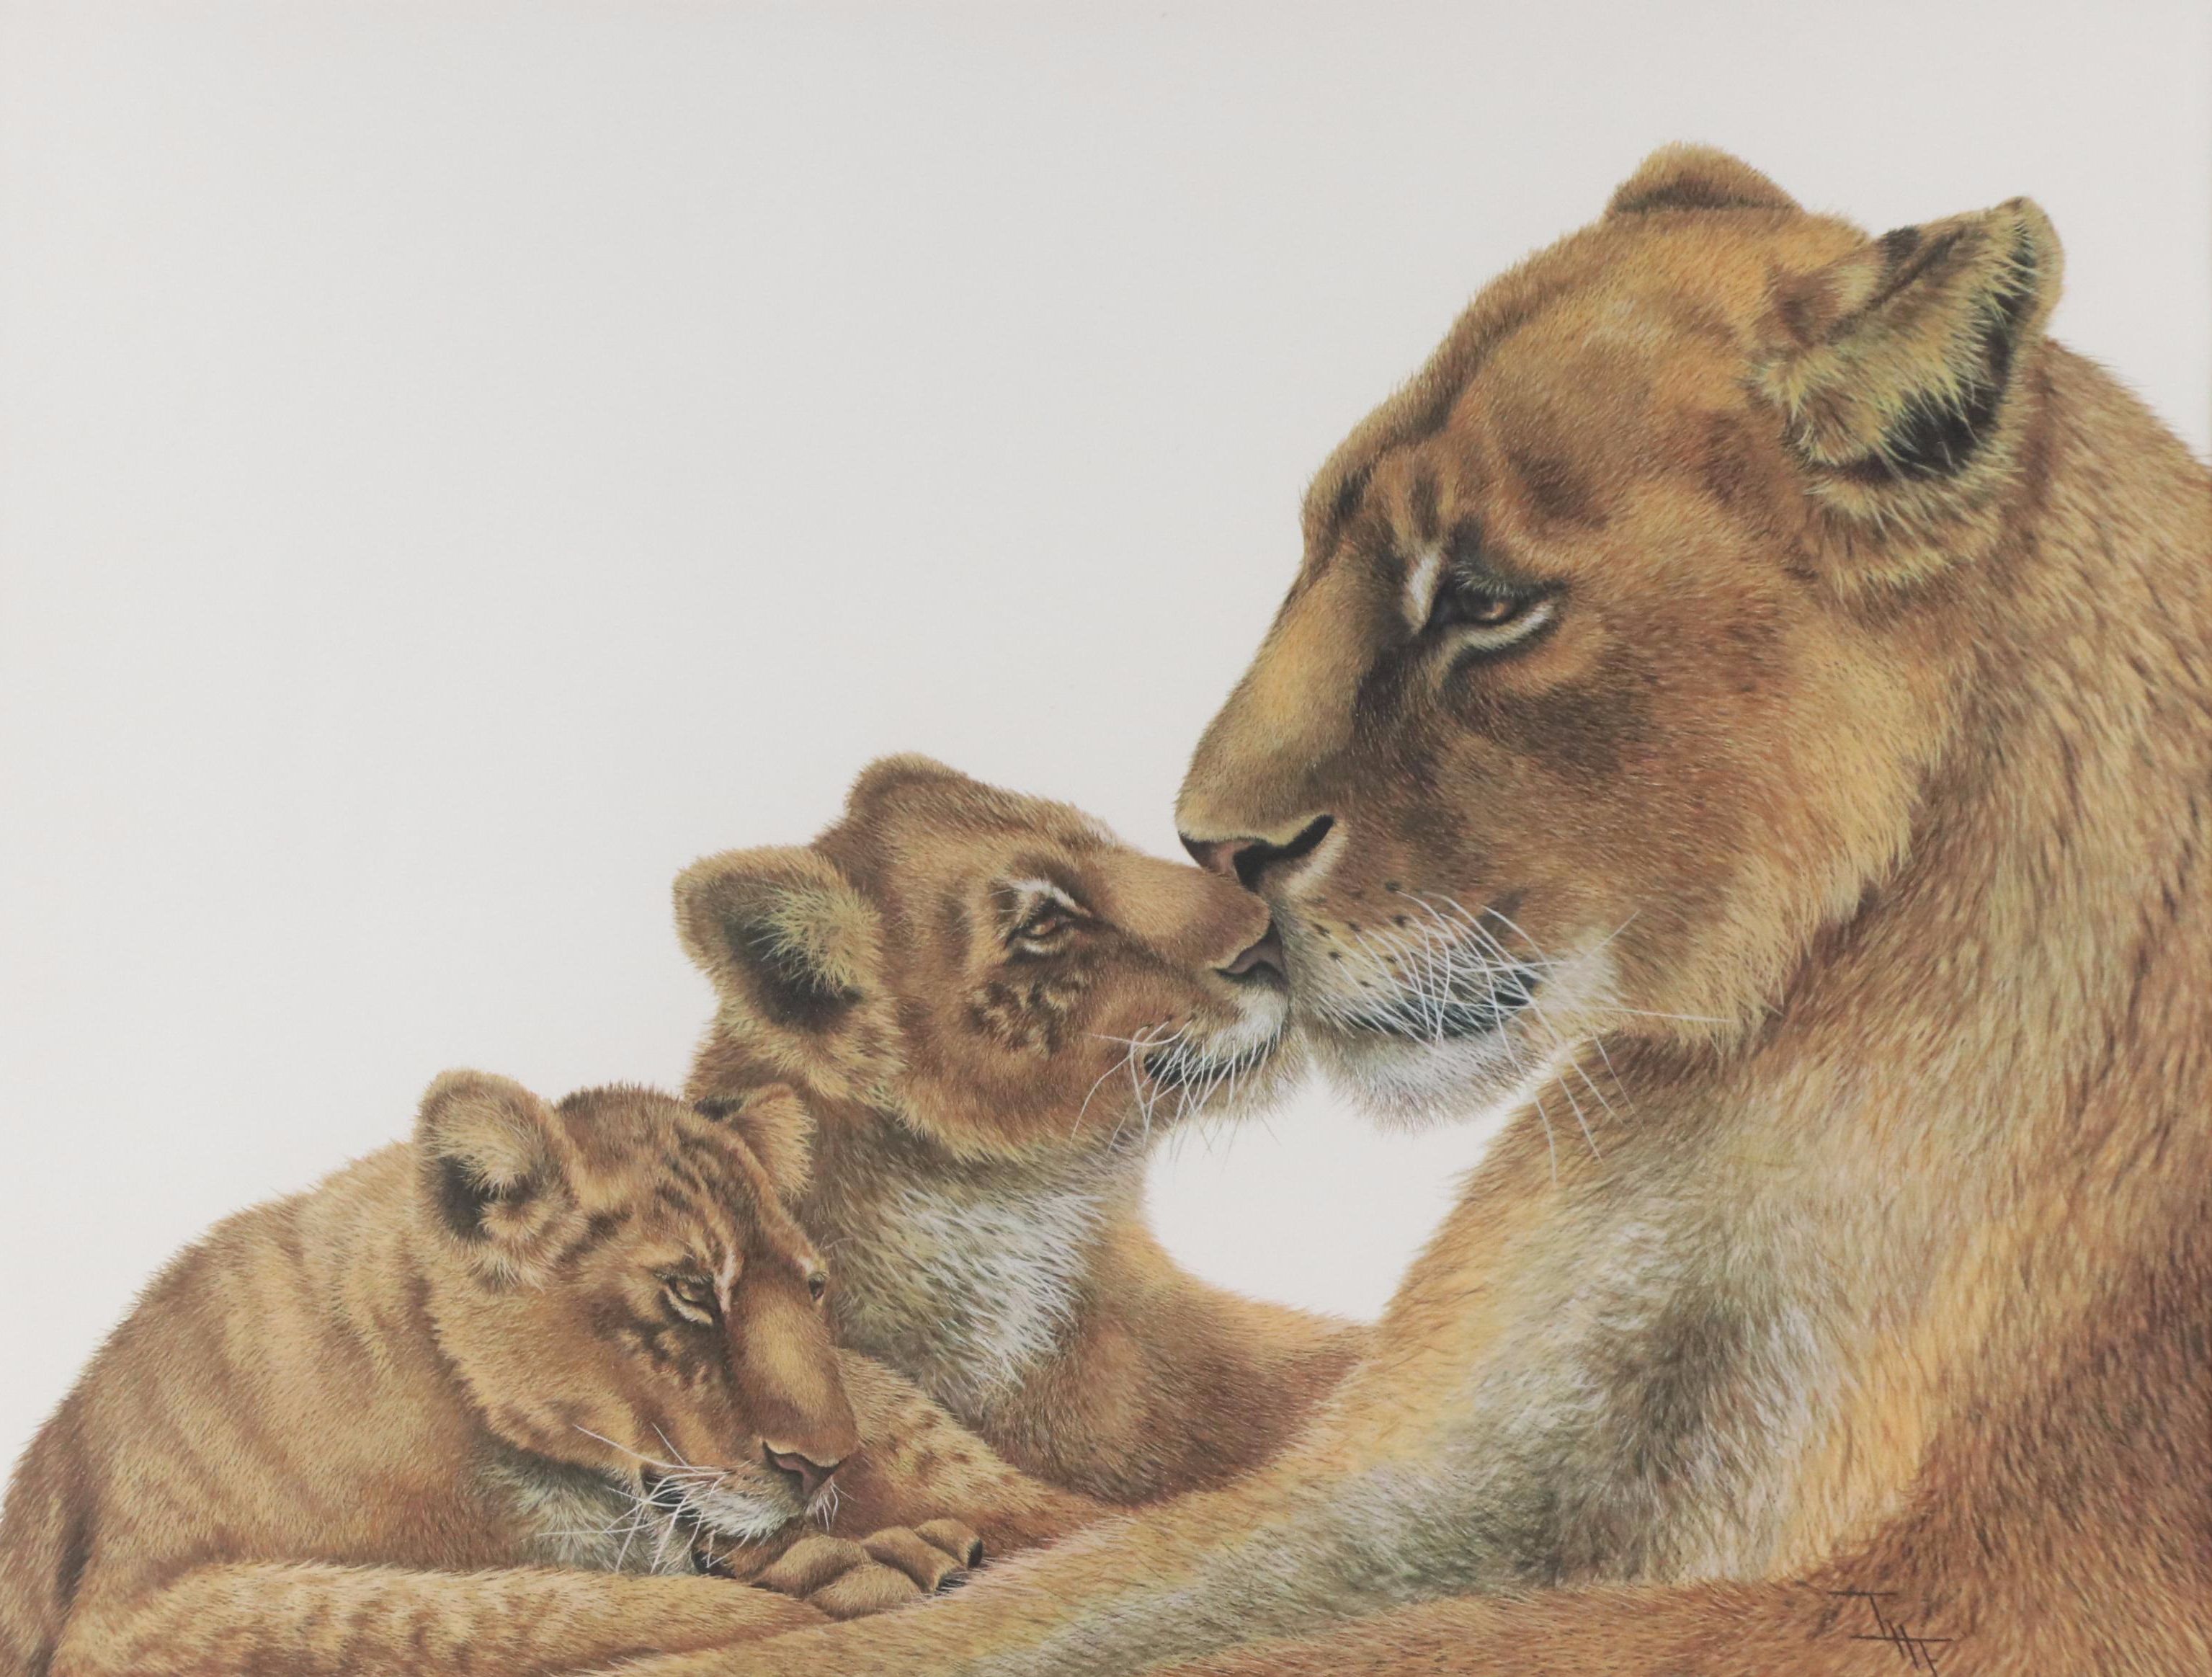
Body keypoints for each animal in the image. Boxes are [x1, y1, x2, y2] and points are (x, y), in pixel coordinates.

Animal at [0, 1074, 1101, 1677]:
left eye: (815, 1286)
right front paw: (835, 1577)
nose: (824, 1462)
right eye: (690, 1291)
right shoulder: (133, 1617)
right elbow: (471, 1610)